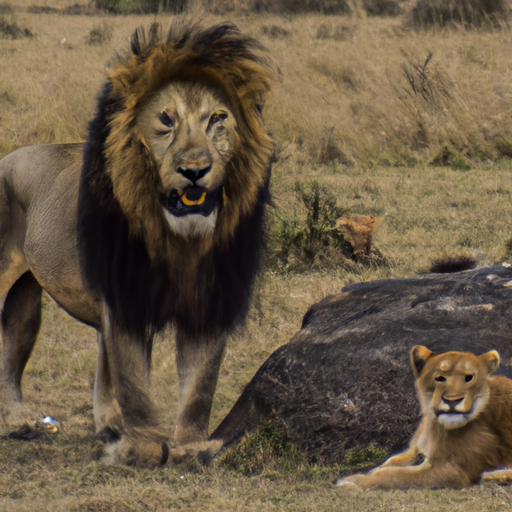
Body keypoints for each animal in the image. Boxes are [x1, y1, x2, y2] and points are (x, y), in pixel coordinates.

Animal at [0, 22, 274, 466]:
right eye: (165, 120)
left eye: (217, 119)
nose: (194, 170)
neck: (178, 243)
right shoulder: (124, 302)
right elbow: (132, 380)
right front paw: (142, 449)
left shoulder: (207, 303)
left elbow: (200, 384)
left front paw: (189, 449)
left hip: (27, 295)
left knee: (15, 348)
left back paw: (24, 423)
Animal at [338, 344, 512, 488]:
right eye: (440, 378)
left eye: (469, 378)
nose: (452, 400)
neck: (434, 425)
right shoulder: (415, 450)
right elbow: (388, 463)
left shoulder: (452, 469)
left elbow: (393, 474)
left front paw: (353, 481)